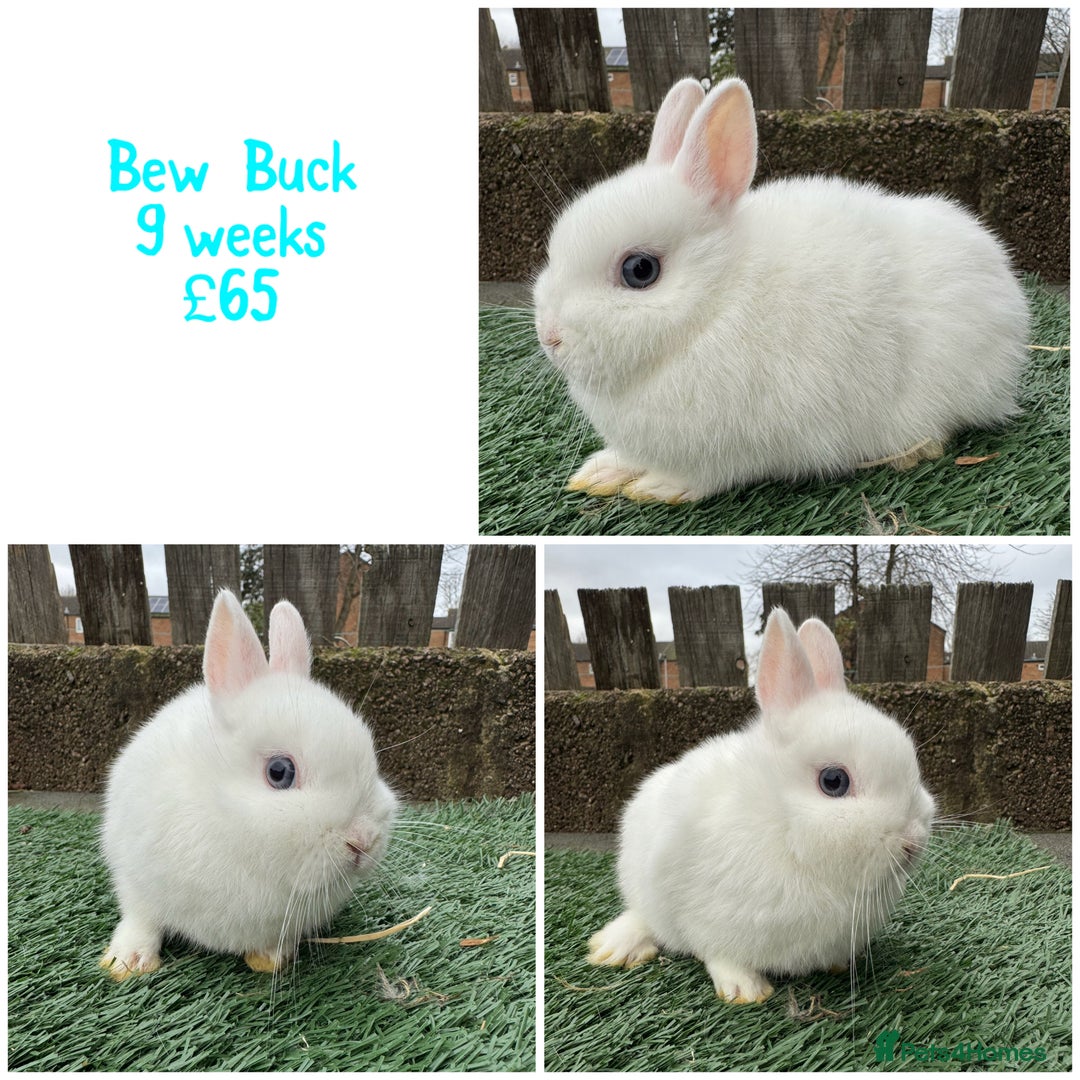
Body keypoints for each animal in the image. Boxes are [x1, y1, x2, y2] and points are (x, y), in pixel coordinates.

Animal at [99, 589, 398, 980]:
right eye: (279, 771)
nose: (363, 840)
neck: (229, 823)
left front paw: (270, 959)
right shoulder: (136, 875)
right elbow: (141, 917)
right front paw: (128, 961)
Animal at [533, 76, 1029, 503]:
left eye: (640, 270)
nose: (549, 337)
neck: (715, 305)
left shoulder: (738, 446)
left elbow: (705, 477)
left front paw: (658, 487)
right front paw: (601, 472)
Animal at [588, 607, 935, 1003]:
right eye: (834, 781)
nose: (913, 841)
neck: (785, 829)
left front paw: (841, 963)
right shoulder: (707, 917)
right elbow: (719, 954)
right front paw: (746, 991)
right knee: (645, 919)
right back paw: (615, 948)